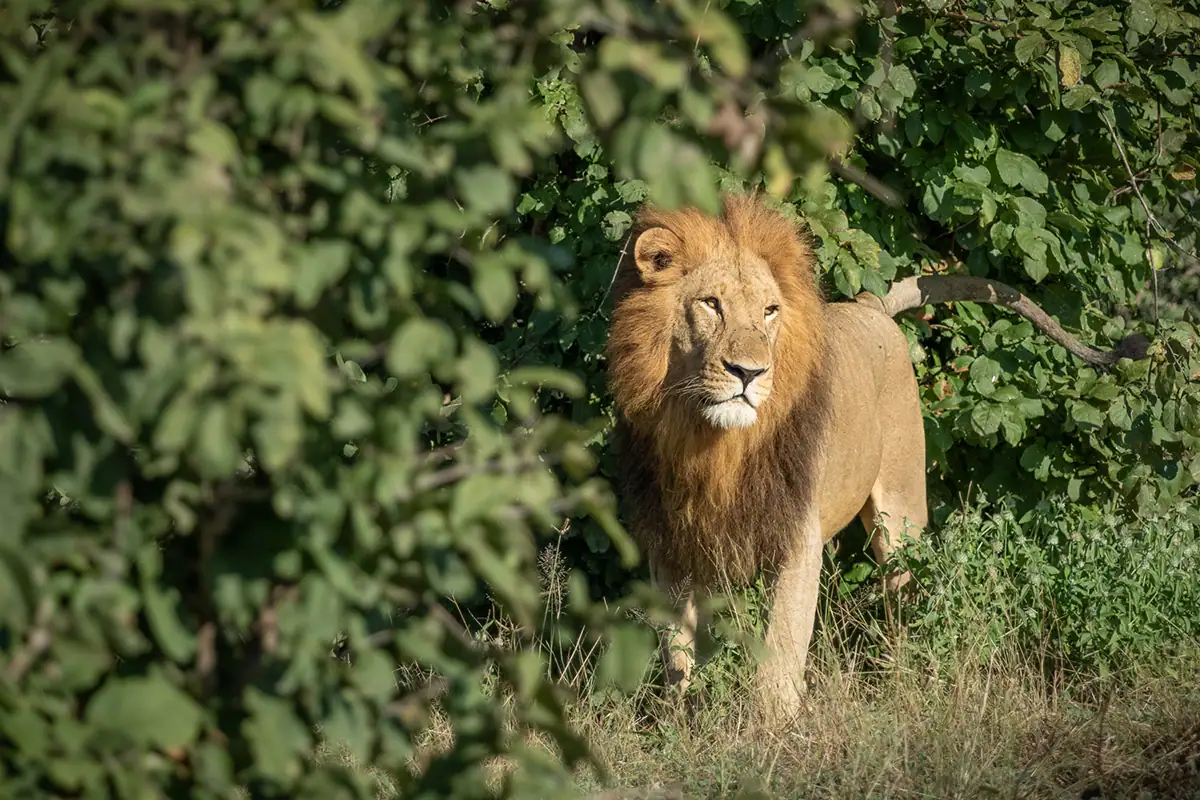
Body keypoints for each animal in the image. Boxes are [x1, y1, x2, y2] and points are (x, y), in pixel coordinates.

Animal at [605, 192, 1149, 721]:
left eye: (769, 311)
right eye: (711, 304)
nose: (750, 373)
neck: (714, 443)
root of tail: (870, 305)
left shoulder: (797, 538)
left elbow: (780, 651)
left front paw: (775, 732)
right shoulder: (672, 545)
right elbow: (678, 655)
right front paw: (683, 724)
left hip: (901, 512)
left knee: (902, 599)